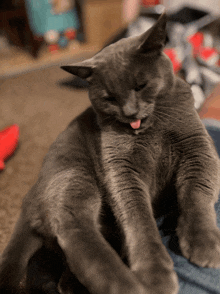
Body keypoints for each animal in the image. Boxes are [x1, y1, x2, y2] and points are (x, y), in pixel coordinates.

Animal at [0, 11, 220, 294]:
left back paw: (71, 282)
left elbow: (196, 194)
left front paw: (204, 244)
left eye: (141, 85)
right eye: (109, 98)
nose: (130, 112)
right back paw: (125, 284)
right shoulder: (120, 169)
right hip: (74, 174)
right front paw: (155, 274)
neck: (151, 131)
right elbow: (138, 219)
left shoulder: (198, 149)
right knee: (75, 230)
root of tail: (28, 203)